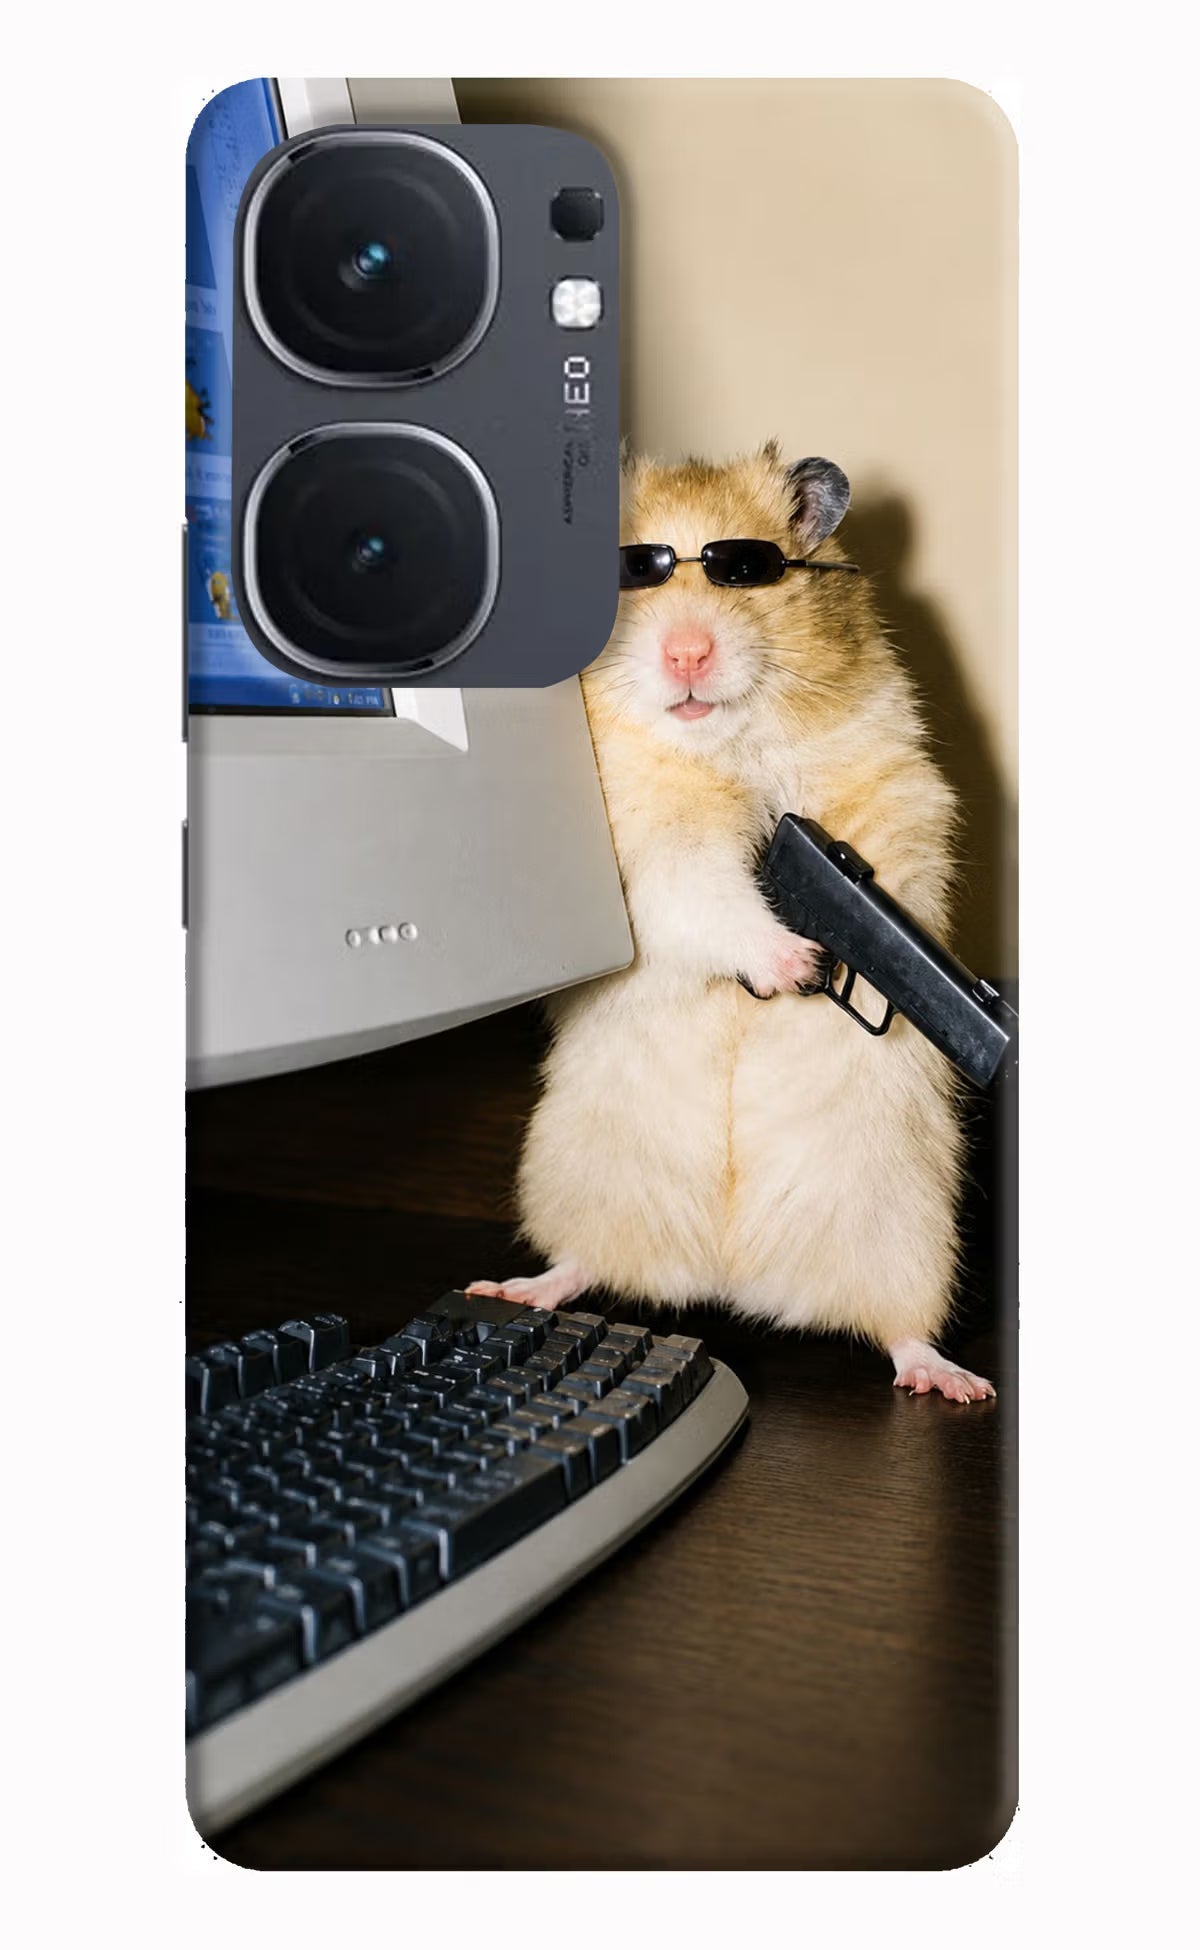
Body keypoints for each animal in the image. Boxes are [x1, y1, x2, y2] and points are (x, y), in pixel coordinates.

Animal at [469, 444, 994, 1403]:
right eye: (629, 573)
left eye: (746, 571)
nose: (686, 652)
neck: (725, 745)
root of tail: (730, 1276)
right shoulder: (651, 852)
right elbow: (707, 895)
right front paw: (797, 963)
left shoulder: (895, 789)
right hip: (579, 1176)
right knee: (583, 1263)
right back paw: (515, 1288)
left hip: (908, 1228)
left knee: (900, 1328)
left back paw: (954, 1382)